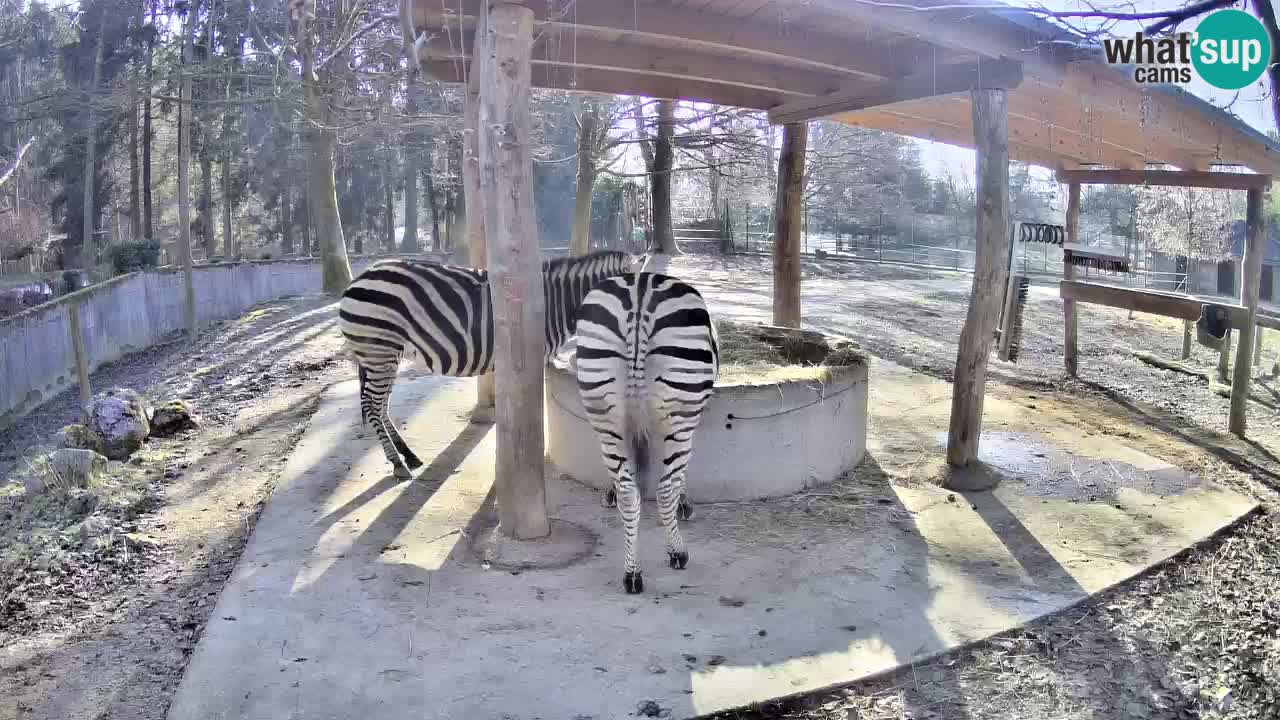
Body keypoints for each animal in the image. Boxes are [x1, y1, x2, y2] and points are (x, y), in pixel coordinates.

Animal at [337, 249, 637, 479]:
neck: (556, 303)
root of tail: (358, 279)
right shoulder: (532, 357)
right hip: (379, 351)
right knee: (372, 405)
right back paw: (398, 464)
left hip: (384, 355)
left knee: (380, 406)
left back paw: (408, 456)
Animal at [573, 271, 716, 591]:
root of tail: (640, 294)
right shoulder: (684, 423)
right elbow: (678, 475)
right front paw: (684, 505)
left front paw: (611, 493)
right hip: (679, 411)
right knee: (664, 489)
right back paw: (677, 553)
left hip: (603, 404)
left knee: (630, 493)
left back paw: (632, 572)